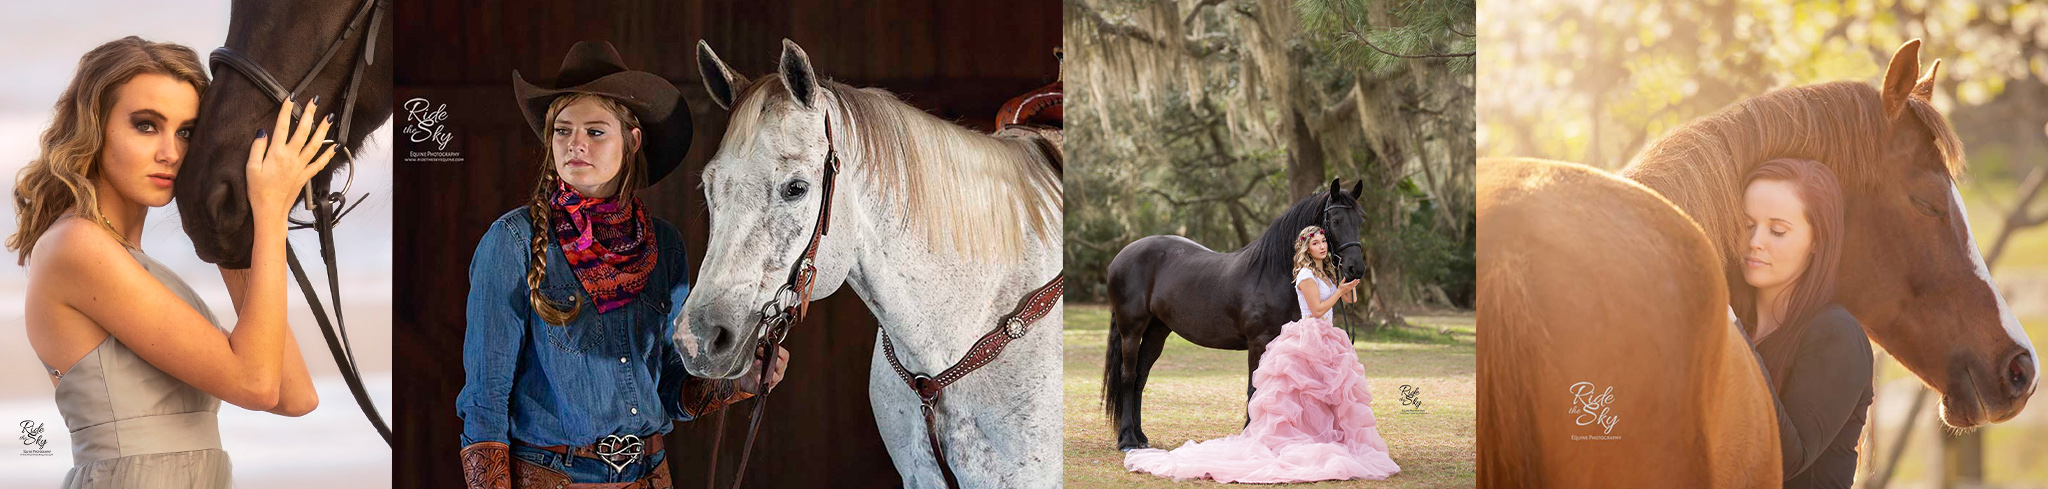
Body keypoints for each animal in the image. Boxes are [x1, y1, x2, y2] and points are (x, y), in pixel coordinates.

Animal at [1097, 179, 1368, 450]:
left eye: (1360, 221)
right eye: (1335, 221)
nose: (1355, 269)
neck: (1271, 272)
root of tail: (1122, 256)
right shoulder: (1259, 341)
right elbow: (1254, 389)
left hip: (1157, 331)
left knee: (1141, 377)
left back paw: (1141, 437)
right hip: (1131, 330)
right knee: (1128, 376)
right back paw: (1127, 439)